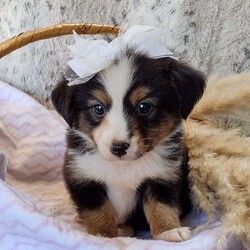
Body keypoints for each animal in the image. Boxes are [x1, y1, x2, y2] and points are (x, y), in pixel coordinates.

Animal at [51, 49, 205, 241]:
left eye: (144, 106)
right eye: (98, 108)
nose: (118, 147)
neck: (123, 166)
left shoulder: (163, 176)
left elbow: (162, 205)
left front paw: (169, 230)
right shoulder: (82, 177)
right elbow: (98, 211)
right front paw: (103, 234)